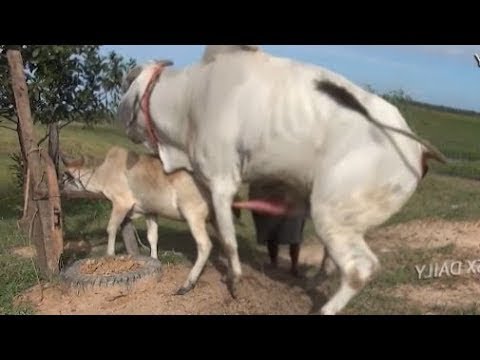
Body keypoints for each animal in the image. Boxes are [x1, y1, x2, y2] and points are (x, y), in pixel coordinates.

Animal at [117, 46, 446, 314]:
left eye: (128, 82)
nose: (120, 114)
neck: (189, 96)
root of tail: (419, 149)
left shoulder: (222, 182)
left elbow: (226, 241)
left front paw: (233, 282)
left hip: (330, 212)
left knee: (360, 269)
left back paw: (325, 308)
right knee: (332, 263)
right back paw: (311, 281)